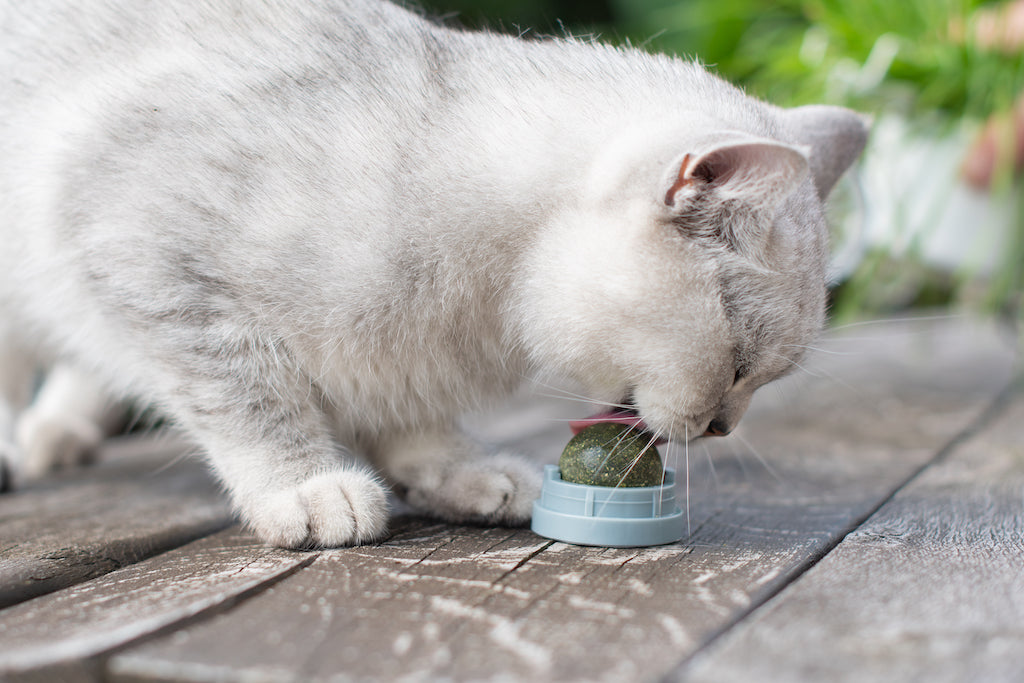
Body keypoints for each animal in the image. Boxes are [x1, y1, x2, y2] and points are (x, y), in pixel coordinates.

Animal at [0, 0, 868, 548]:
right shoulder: (143, 249)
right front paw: (304, 486)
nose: (725, 426)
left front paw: (456, 471)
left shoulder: (393, 348)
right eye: (739, 362)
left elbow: (404, 414)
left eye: (761, 377)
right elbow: (250, 396)